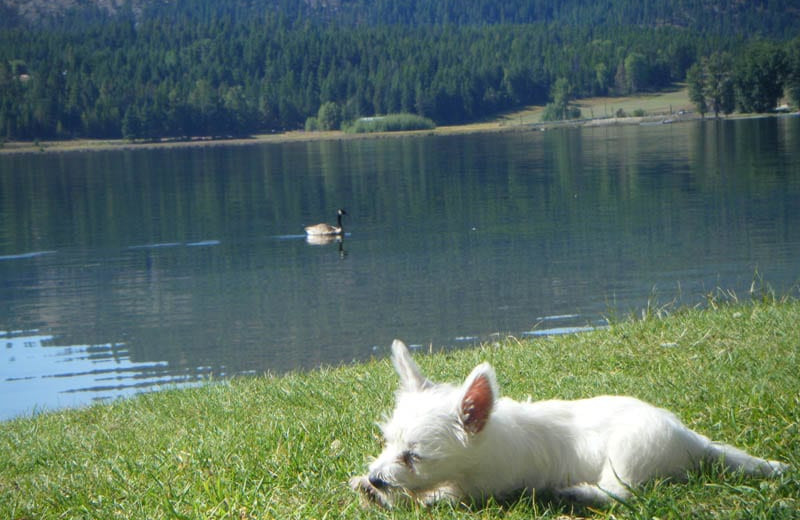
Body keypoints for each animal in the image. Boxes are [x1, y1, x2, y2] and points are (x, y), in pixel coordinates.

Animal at [350, 340, 788, 506]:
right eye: (388, 442)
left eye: (414, 456)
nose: (375, 478)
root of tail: (693, 440)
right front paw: (364, 484)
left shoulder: (482, 487)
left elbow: (439, 495)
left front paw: (404, 496)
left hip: (629, 453)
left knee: (620, 492)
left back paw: (577, 492)